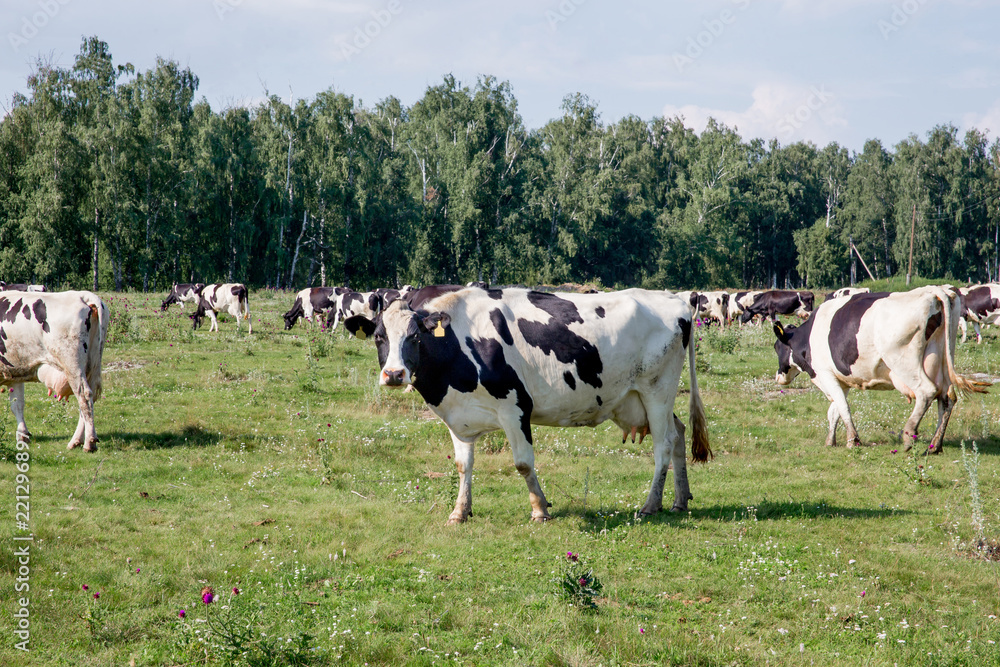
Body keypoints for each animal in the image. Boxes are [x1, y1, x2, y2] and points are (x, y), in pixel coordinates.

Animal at [0, 290, 110, 452]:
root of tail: (82, 295)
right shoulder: (16, 372)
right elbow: (17, 405)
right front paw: (23, 435)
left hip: (72, 364)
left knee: (84, 396)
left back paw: (89, 442)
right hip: (91, 366)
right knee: (88, 400)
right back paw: (76, 440)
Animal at [344, 288, 712, 528]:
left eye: (415, 337)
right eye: (379, 337)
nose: (394, 374)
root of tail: (675, 298)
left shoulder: (515, 407)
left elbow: (522, 463)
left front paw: (540, 510)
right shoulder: (459, 418)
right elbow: (463, 466)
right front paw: (460, 512)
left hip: (657, 389)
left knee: (663, 444)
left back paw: (651, 504)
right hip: (640, 398)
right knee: (679, 433)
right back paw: (680, 499)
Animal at [768, 288, 988, 454]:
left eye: (777, 348)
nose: (779, 376)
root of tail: (933, 290)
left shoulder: (826, 374)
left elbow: (842, 407)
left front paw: (853, 440)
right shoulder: (842, 380)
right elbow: (834, 411)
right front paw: (831, 441)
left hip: (904, 362)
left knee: (926, 392)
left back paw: (908, 436)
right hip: (941, 360)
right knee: (947, 397)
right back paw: (935, 445)